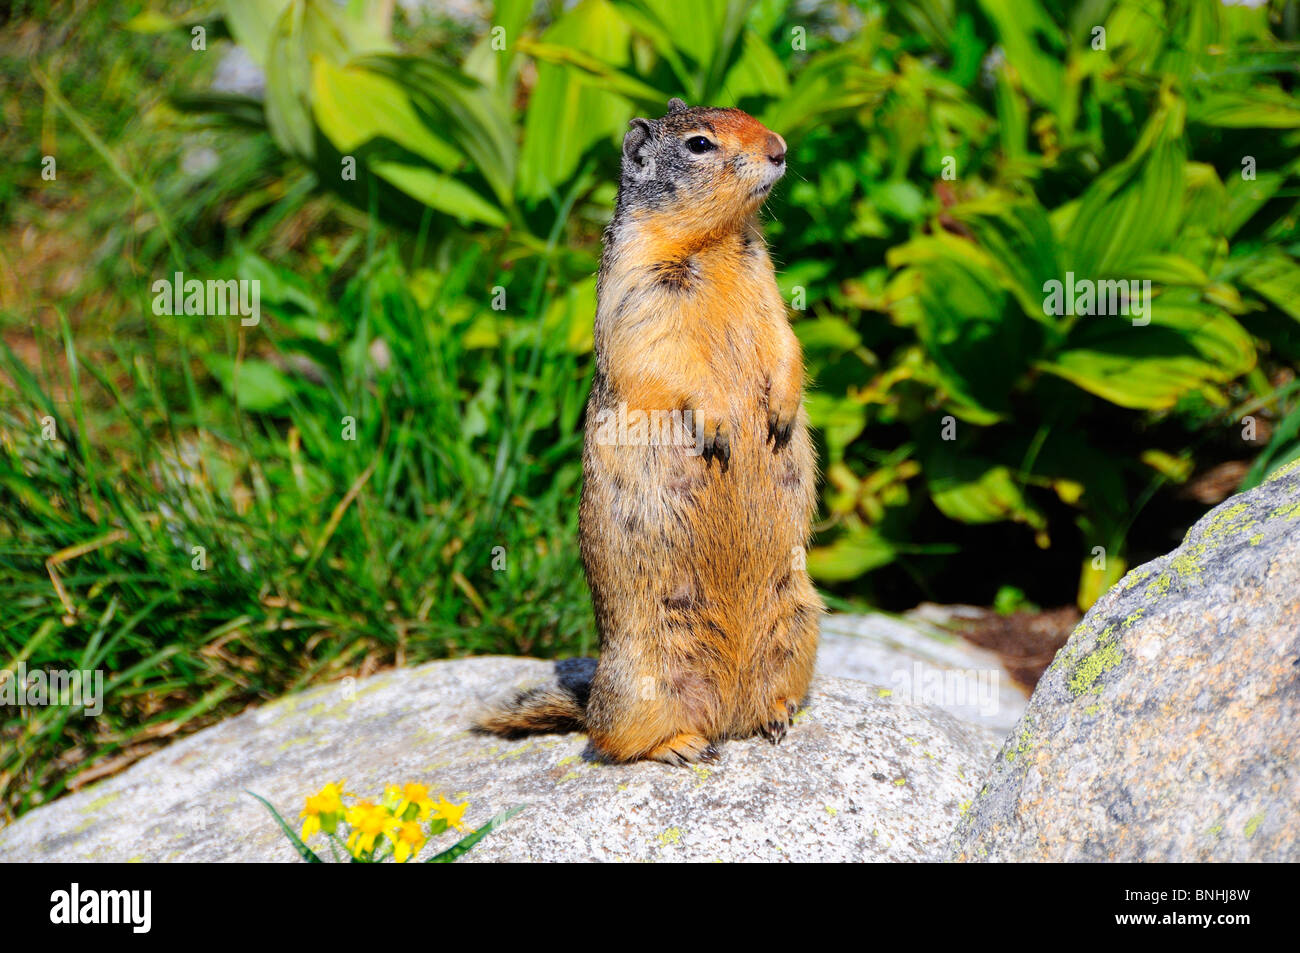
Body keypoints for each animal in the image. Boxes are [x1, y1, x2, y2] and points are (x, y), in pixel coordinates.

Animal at [475, 98, 823, 765]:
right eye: (698, 144)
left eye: (746, 112)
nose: (781, 148)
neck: (715, 242)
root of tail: (725, 713)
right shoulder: (638, 293)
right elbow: (667, 361)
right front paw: (719, 423)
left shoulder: (768, 289)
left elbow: (786, 342)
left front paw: (781, 413)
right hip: (644, 670)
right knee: (609, 738)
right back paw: (681, 746)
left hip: (799, 618)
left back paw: (776, 715)